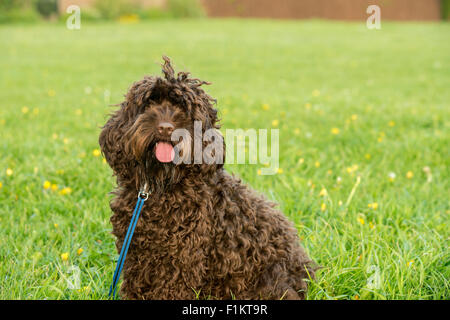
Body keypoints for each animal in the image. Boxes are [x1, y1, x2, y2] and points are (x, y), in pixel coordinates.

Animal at [100, 56, 314, 298]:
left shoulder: (181, 257)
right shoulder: (136, 251)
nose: (165, 128)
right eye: (149, 104)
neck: (162, 185)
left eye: (183, 109)